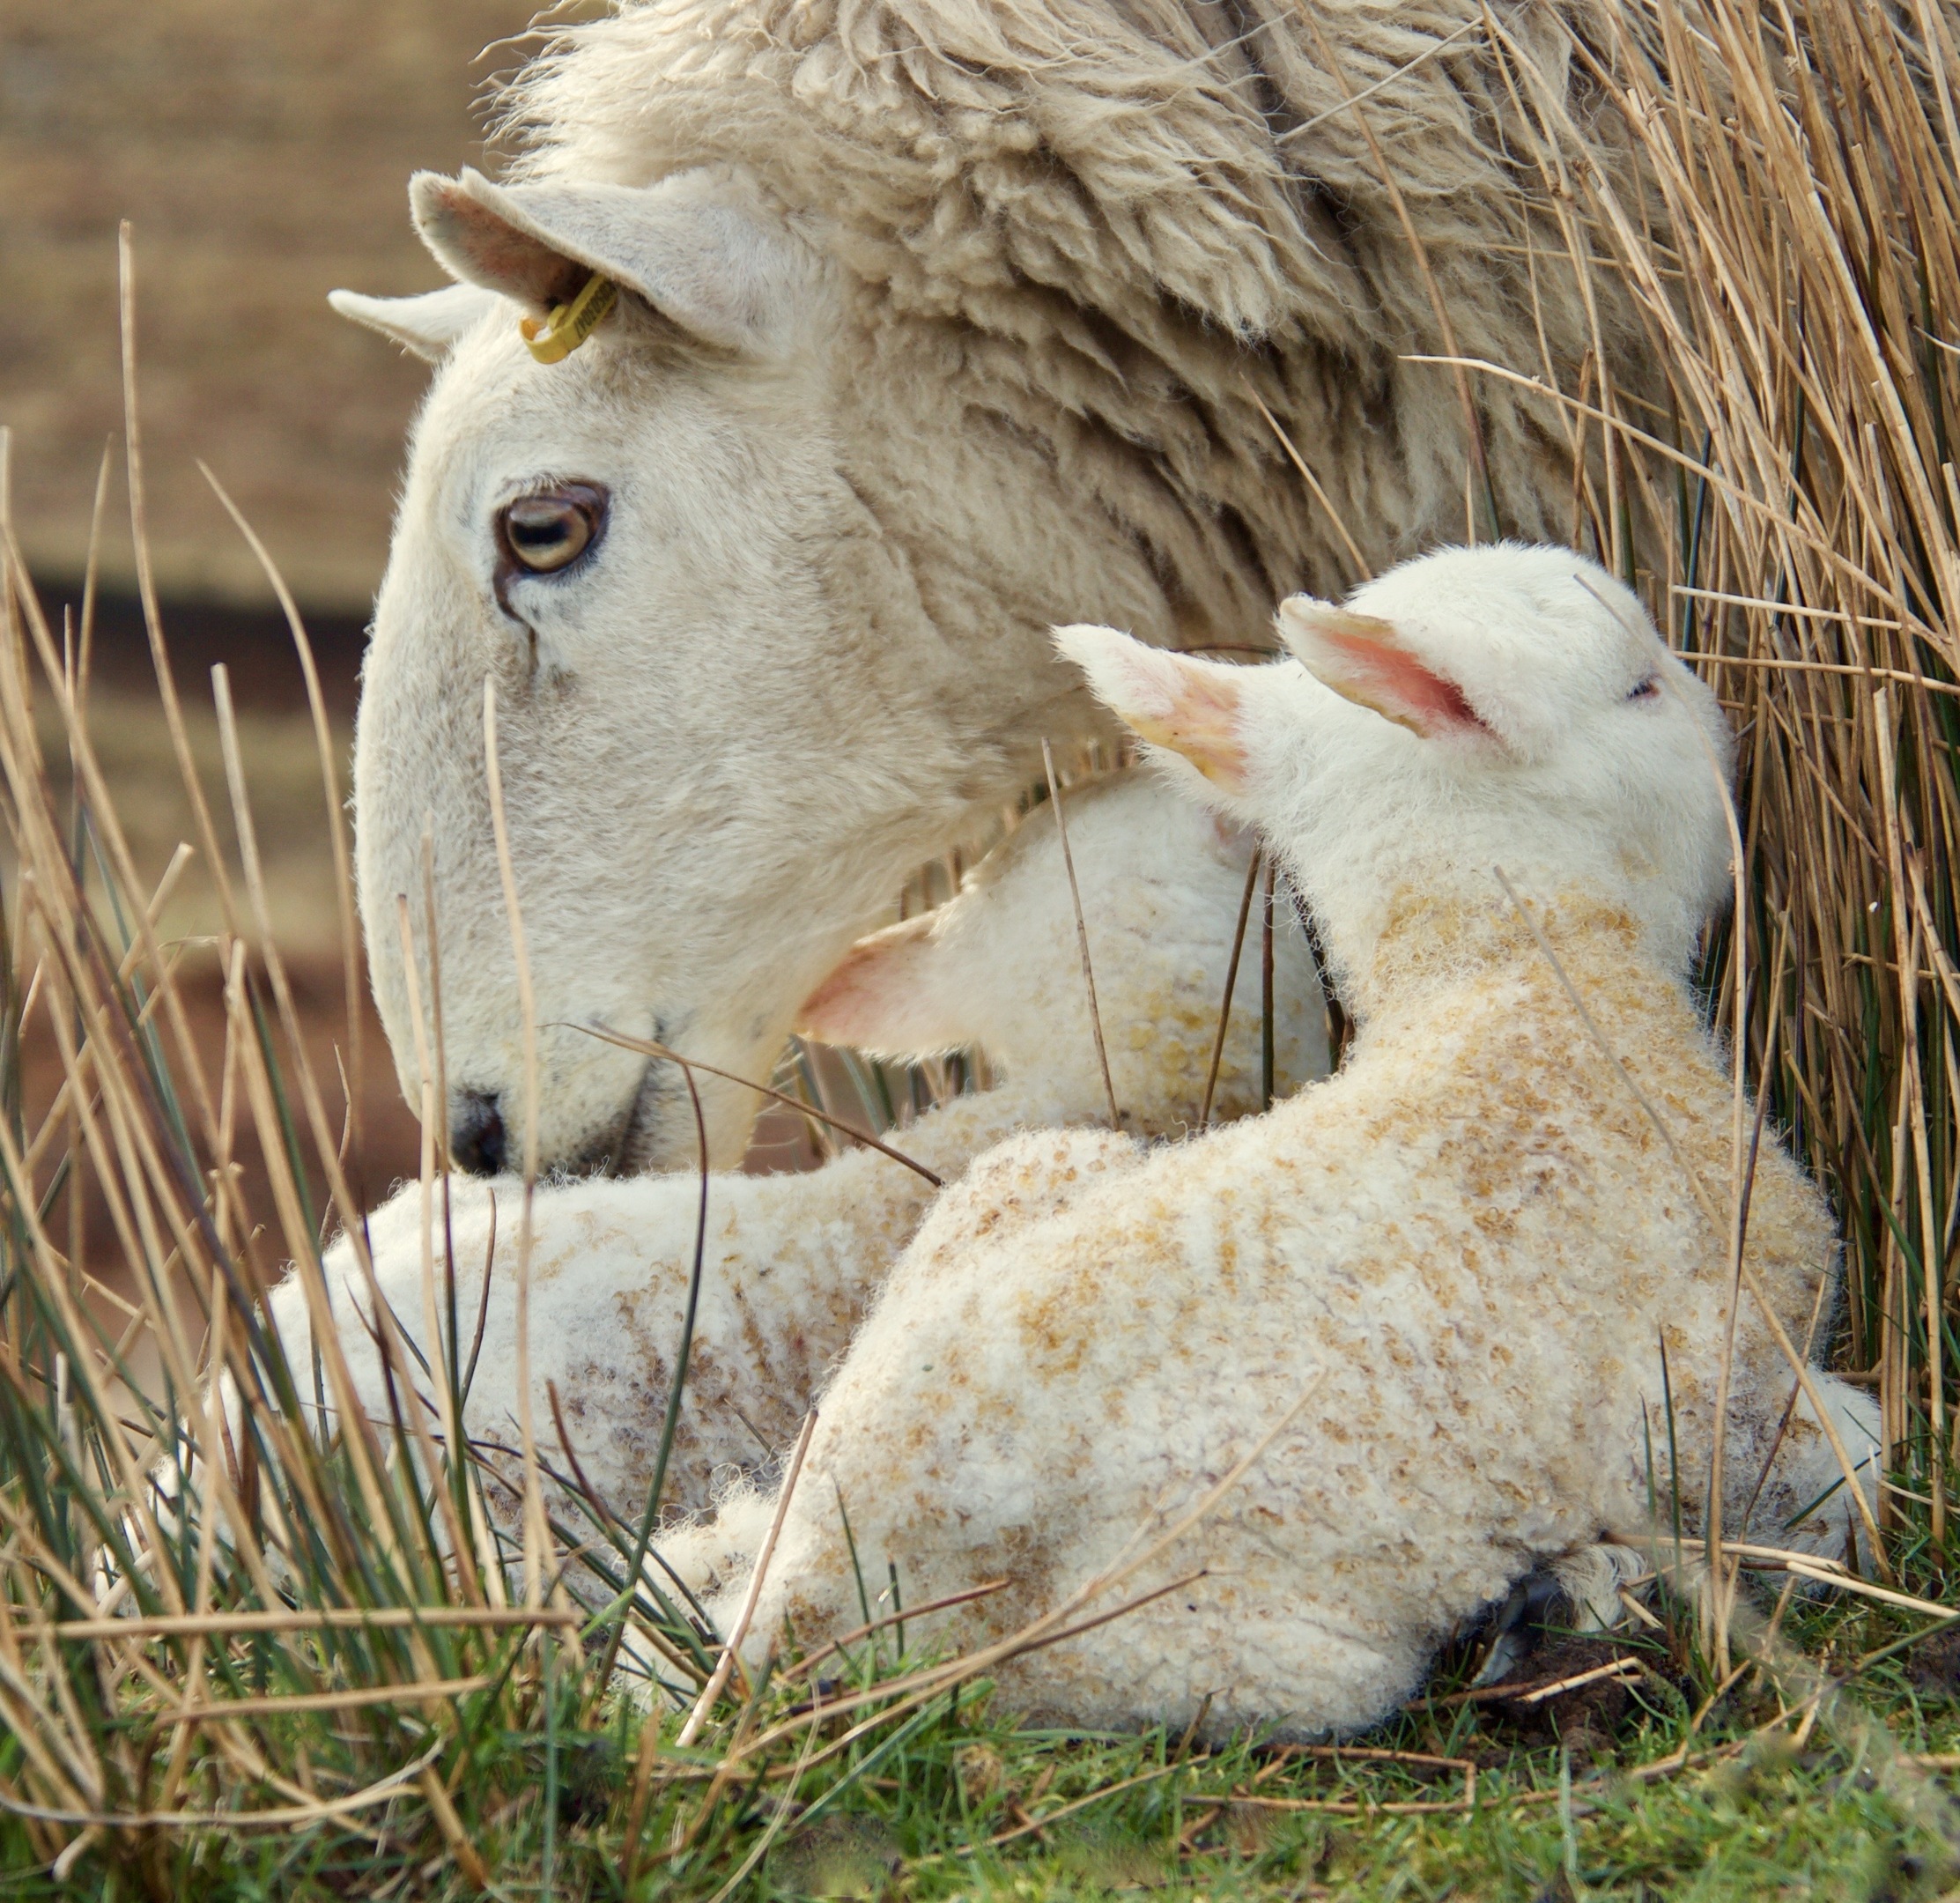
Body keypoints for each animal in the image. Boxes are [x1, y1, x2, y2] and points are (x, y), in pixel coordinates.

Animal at [685, 548, 1882, 1740]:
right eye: (1638, 689)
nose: (1725, 723)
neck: (1512, 973)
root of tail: (817, 1576)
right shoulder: (1722, 1358)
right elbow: (1841, 1463)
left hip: (1026, 1176)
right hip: (1253, 1662)